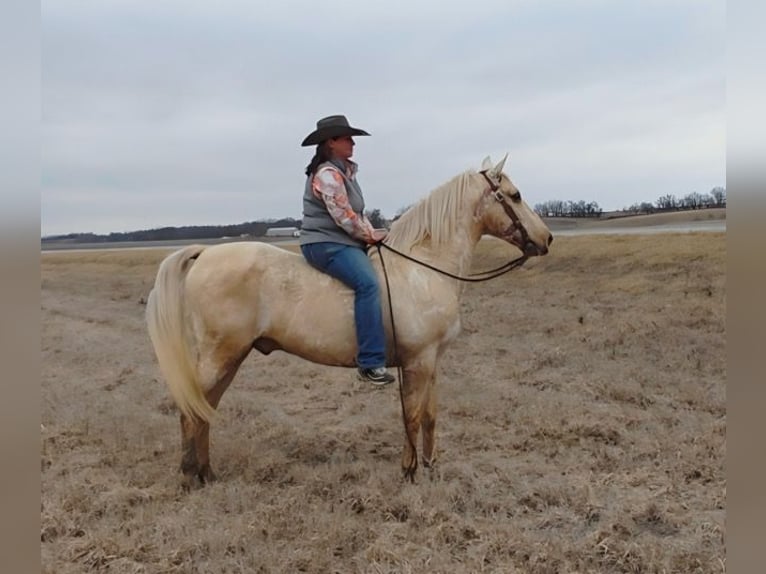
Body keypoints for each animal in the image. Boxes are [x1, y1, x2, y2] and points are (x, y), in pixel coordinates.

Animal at [146, 155, 552, 488]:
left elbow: (430, 416)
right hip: (220, 355)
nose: (546, 238)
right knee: (191, 409)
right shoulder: (417, 362)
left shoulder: (432, 362)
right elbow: (412, 416)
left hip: (230, 357)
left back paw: (207, 473)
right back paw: (190, 477)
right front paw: (409, 472)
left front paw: (430, 466)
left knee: (204, 408)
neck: (423, 269)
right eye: (515, 195)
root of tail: (205, 254)